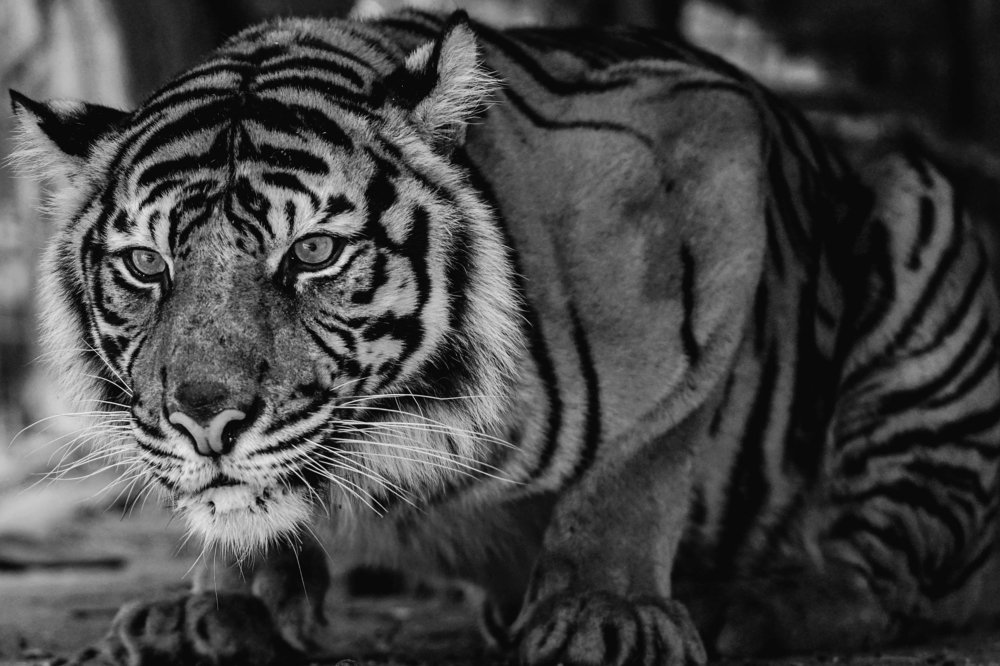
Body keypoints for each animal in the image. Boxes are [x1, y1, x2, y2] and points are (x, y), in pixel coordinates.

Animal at [11, 7, 1000, 666]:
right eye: (145, 266)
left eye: (316, 252)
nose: (205, 420)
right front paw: (210, 612)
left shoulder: (711, 166)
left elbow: (646, 448)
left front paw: (604, 614)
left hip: (915, 241)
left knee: (881, 580)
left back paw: (758, 603)